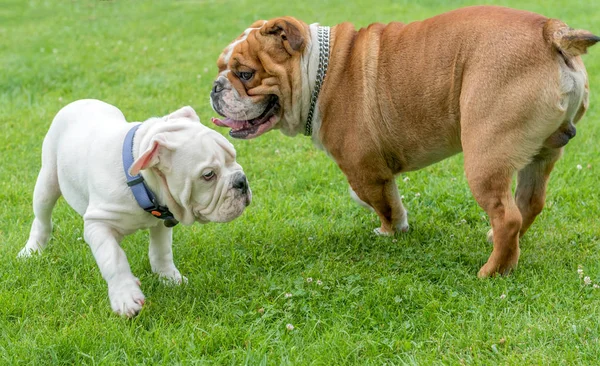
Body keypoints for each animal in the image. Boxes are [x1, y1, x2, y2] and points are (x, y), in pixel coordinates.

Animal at [19, 98, 251, 316]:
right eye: (208, 175)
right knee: (42, 220)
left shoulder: (162, 222)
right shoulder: (97, 223)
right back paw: (32, 250)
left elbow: (161, 251)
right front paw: (125, 296)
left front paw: (169, 278)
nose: (242, 181)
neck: (142, 181)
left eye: (234, 156)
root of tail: (79, 101)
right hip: (47, 181)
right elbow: (113, 257)